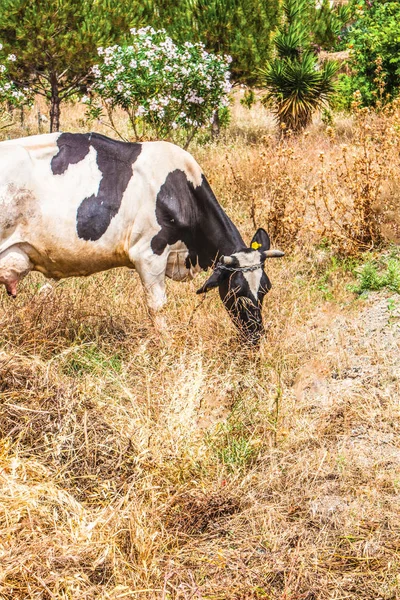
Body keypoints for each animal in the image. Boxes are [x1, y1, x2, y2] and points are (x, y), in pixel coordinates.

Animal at [0, 134, 282, 344]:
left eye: (266, 288)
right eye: (236, 290)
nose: (256, 335)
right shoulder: (149, 254)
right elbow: (158, 307)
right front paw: (168, 346)